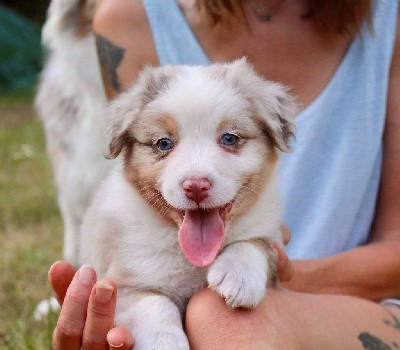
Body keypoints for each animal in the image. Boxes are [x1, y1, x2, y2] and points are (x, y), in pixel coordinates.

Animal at [79, 58, 296, 348]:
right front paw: (164, 343)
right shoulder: (121, 285)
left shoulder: (271, 235)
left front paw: (238, 276)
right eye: (163, 143)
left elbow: (254, 243)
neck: (191, 257)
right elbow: (157, 306)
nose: (196, 187)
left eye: (229, 138)